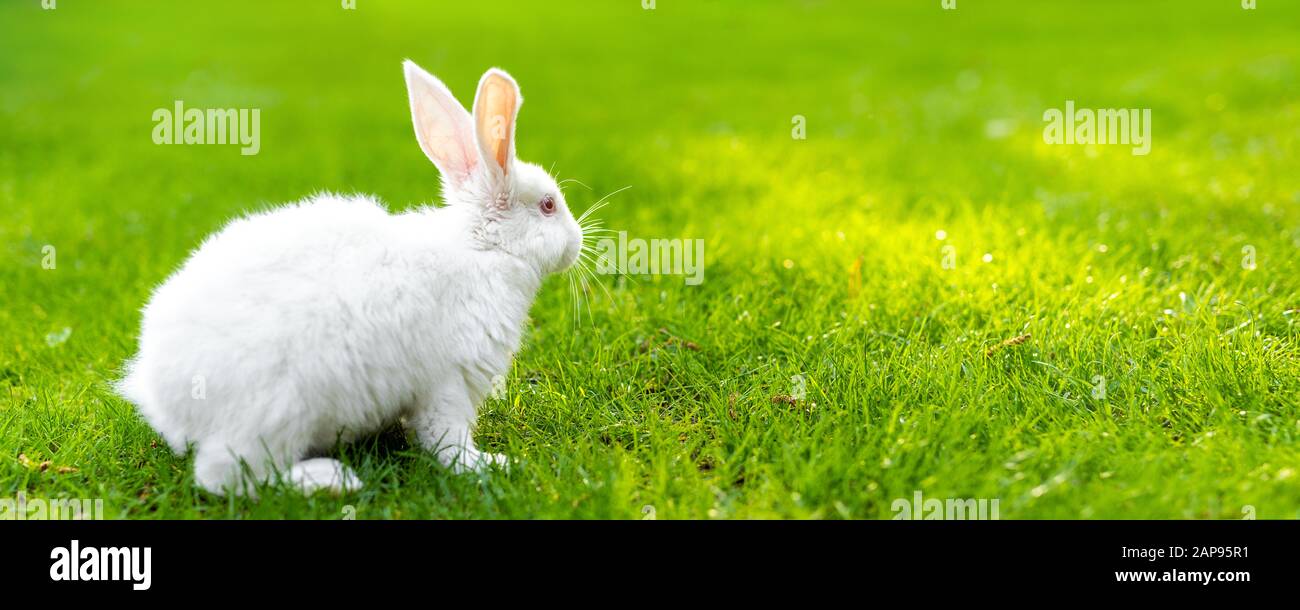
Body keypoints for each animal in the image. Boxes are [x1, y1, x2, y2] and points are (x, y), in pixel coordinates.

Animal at [116, 61, 583, 495]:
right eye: (548, 205)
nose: (578, 242)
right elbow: (446, 442)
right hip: (277, 413)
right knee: (228, 475)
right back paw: (331, 479)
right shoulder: (447, 383)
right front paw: (494, 465)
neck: (482, 249)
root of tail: (162, 395)